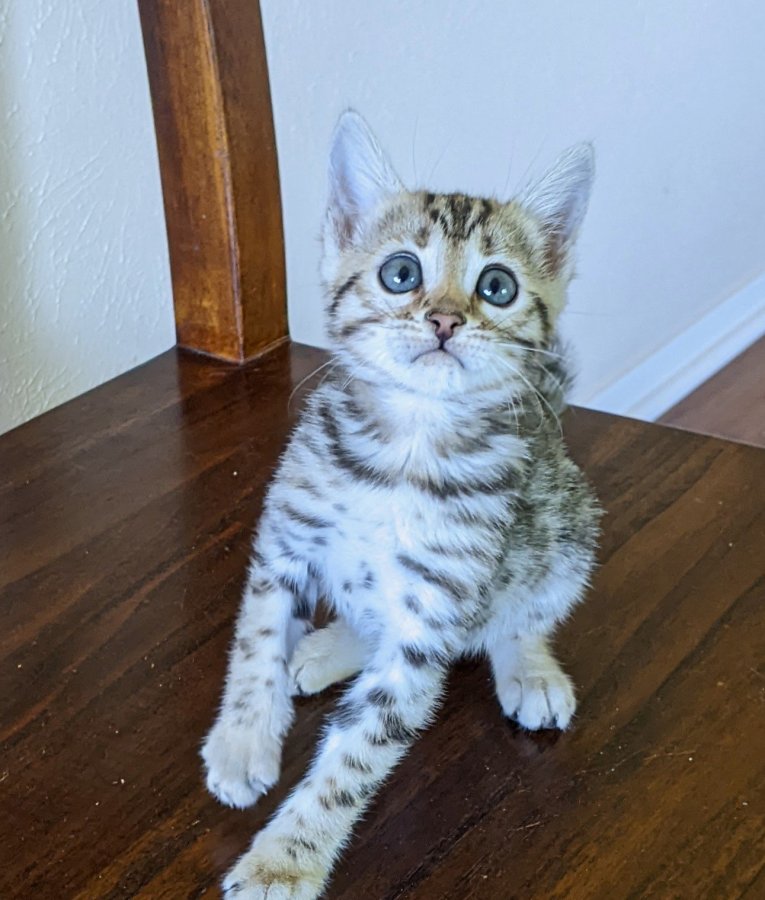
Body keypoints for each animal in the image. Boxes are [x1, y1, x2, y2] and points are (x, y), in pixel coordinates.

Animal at [202, 110, 601, 899]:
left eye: (497, 286)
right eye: (401, 273)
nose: (444, 320)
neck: (405, 452)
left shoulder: (430, 619)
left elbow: (355, 756)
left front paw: (284, 860)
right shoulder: (286, 538)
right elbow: (255, 644)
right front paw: (242, 738)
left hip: (564, 532)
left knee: (519, 615)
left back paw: (529, 667)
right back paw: (324, 650)